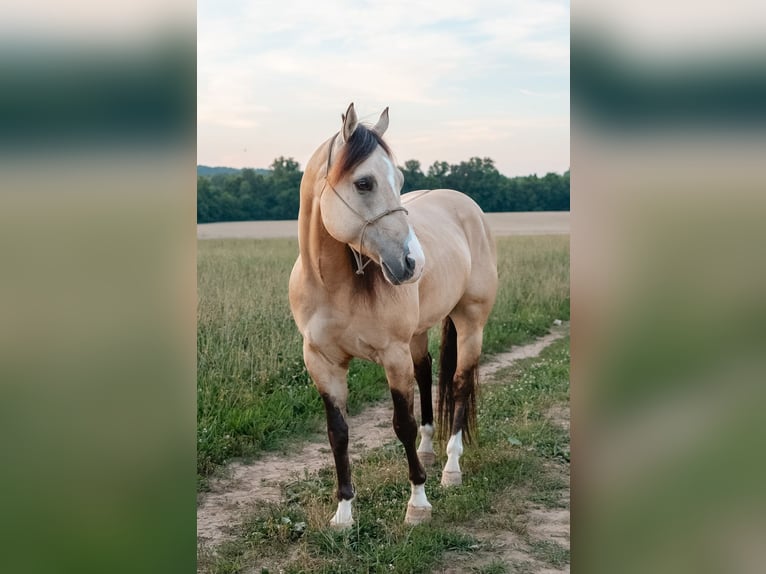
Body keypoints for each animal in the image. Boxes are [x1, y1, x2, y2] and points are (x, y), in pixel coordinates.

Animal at [288, 103, 498, 528]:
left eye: (399, 179)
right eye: (364, 183)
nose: (413, 263)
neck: (334, 286)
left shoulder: (392, 356)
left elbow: (402, 423)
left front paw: (418, 503)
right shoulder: (322, 362)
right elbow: (338, 433)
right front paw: (343, 513)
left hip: (470, 323)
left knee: (460, 383)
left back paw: (451, 467)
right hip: (417, 336)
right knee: (427, 371)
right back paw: (430, 450)